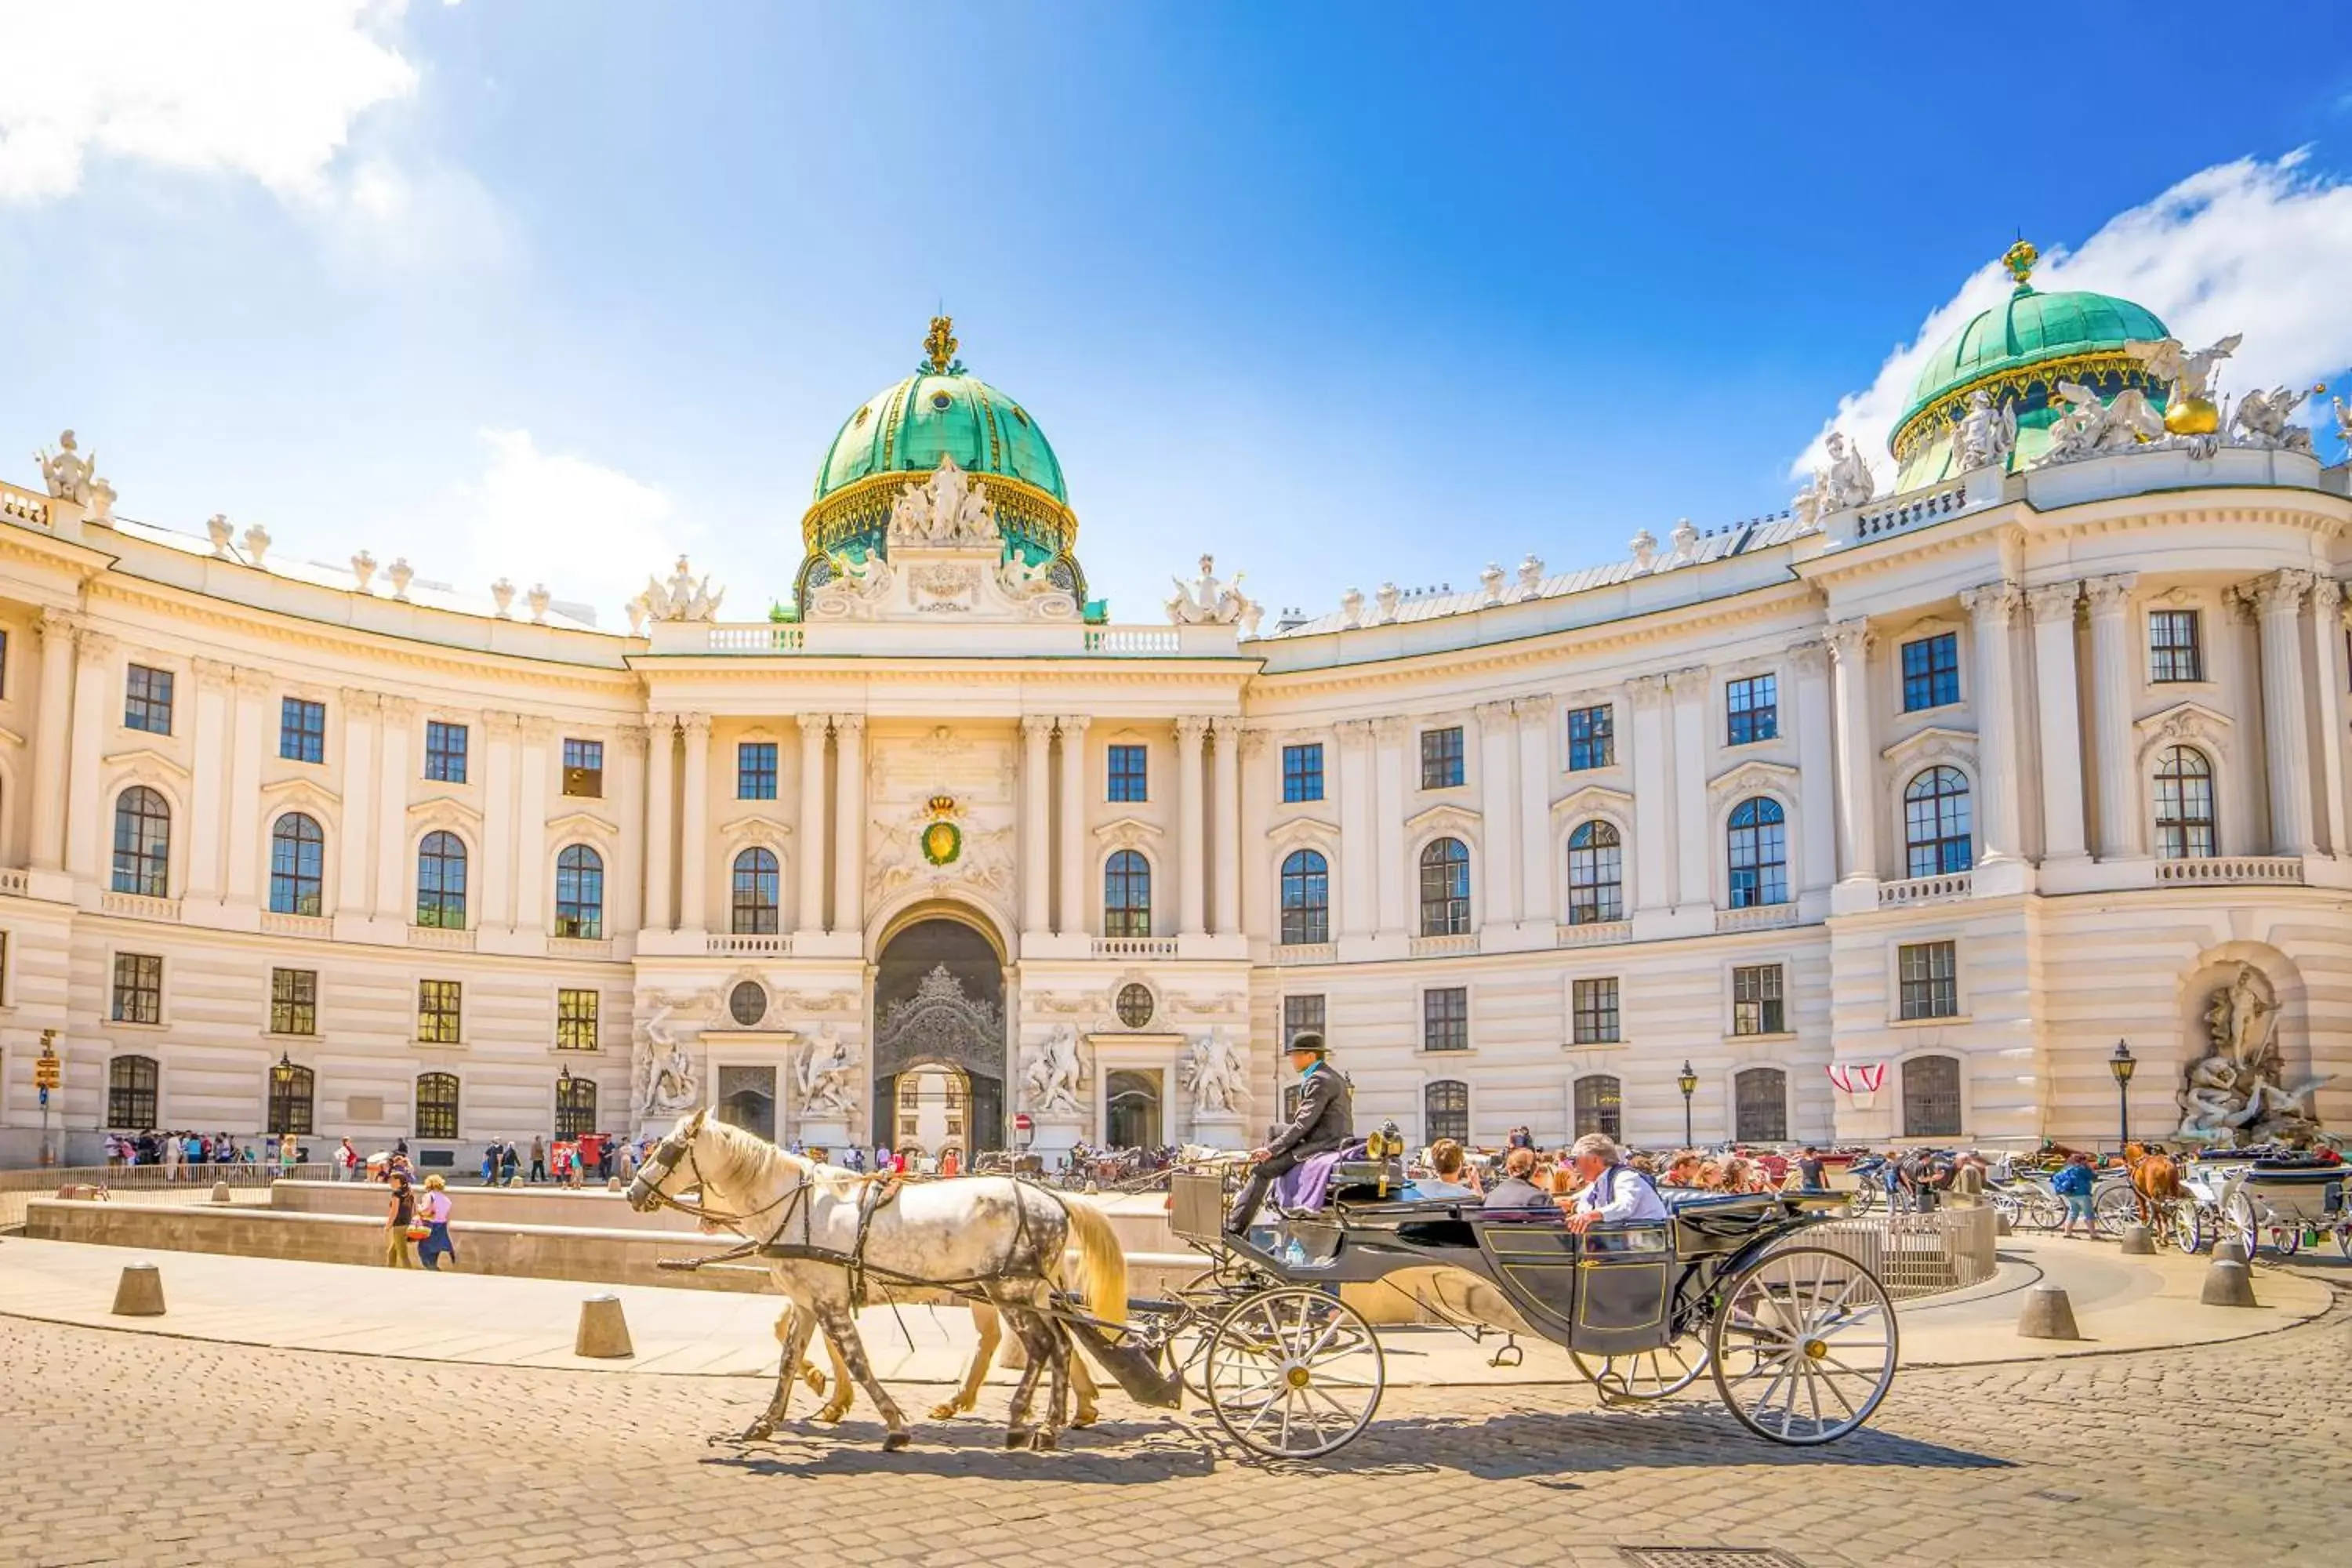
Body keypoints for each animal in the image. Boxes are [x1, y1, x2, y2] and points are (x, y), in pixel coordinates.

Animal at [626, 1109, 1120, 1457]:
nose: (632, 1193)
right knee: (1061, 1344)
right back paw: (1052, 1423)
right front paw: (769, 1420)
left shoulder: (829, 1302)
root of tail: (1054, 1198)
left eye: (665, 1150)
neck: (795, 1205)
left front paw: (894, 1425)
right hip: (1030, 1293)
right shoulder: (807, 1303)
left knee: (1041, 1346)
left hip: (1008, 1293)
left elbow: (858, 1361)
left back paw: (1022, 1421)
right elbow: (788, 1360)